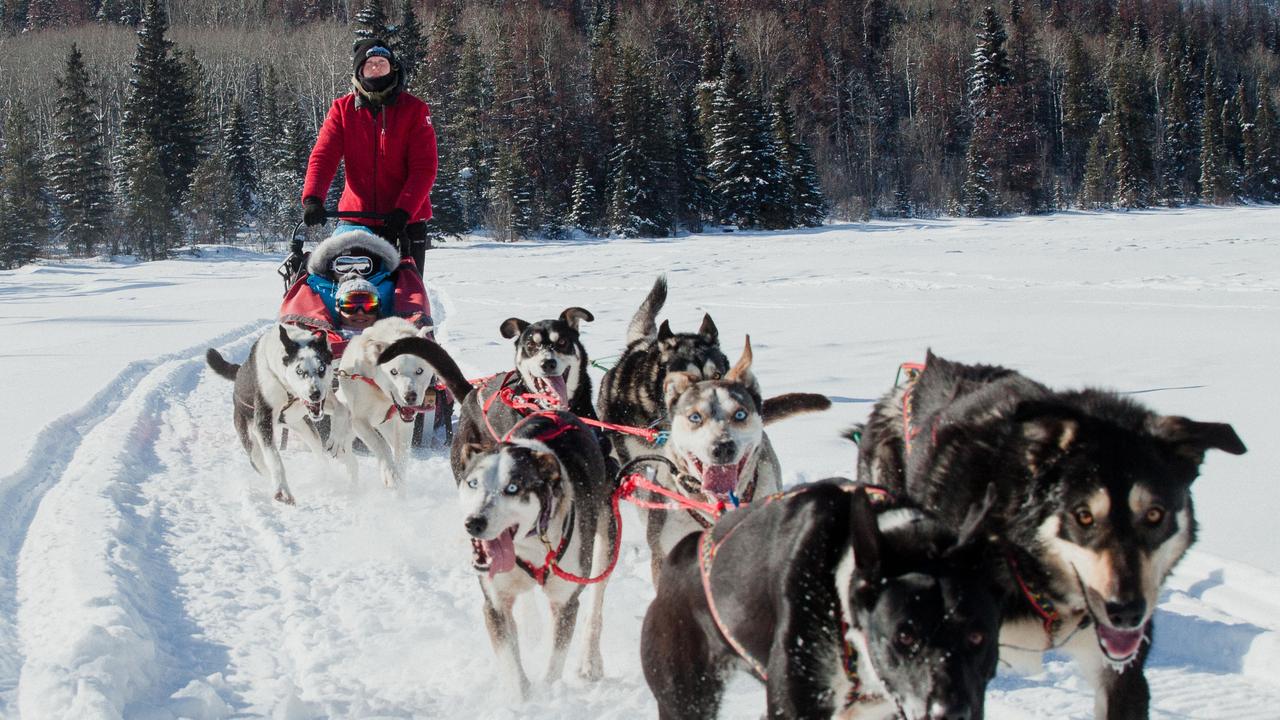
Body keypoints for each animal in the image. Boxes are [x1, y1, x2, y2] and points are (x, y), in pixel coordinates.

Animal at [207, 322, 353, 502]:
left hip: (306, 428)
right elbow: (274, 459)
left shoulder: (323, 401)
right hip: (252, 443)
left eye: (321, 368)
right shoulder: (263, 422)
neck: (288, 390)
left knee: (318, 451)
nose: (314, 393)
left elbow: (342, 410)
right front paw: (282, 489)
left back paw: (326, 473)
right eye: (299, 371)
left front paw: (336, 440)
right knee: (260, 463)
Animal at [458, 409, 616, 696]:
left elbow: (554, 664)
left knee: (596, 601)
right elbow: (511, 662)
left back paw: (590, 660)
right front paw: (522, 695)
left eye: (512, 488)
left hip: (605, 542)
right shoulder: (495, 604)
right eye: (473, 483)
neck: (530, 543)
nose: (474, 522)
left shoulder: (565, 602)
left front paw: (546, 694)